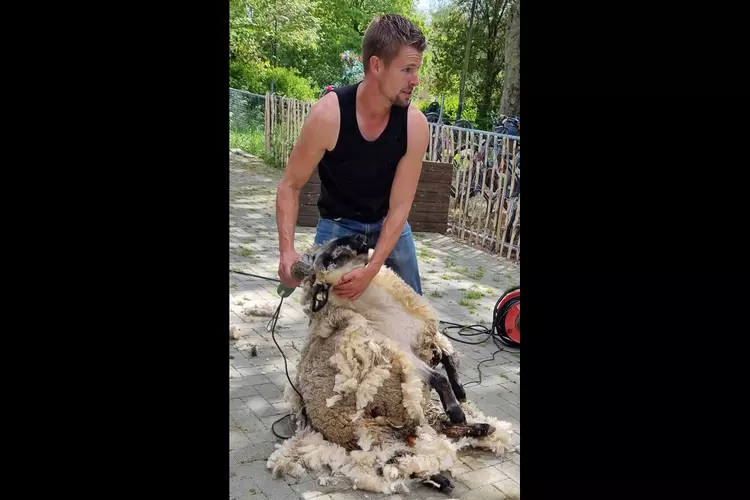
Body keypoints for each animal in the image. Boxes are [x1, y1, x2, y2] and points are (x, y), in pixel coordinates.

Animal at [268, 235, 520, 496]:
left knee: (439, 428)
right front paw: (456, 410)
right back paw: (439, 477)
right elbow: (438, 377)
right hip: (367, 431)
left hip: (413, 417)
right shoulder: (406, 356)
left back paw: (482, 428)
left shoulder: (427, 342)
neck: (387, 311)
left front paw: (460, 392)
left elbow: (448, 358)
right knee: (396, 459)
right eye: (330, 257)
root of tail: (308, 418)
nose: (360, 237)